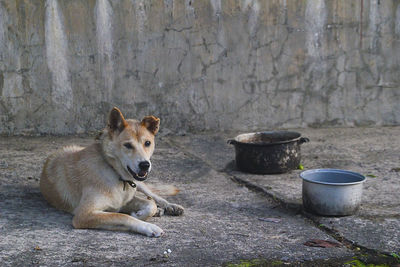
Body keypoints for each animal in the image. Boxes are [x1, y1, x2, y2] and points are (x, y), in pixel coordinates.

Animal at [39, 108, 184, 238]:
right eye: (128, 145)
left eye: (147, 143)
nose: (145, 165)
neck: (115, 172)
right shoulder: (84, 214)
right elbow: (123, 216)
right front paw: (147, 226)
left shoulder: (124, 200)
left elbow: (150, 204)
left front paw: (141, 214)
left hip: (140, 185)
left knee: (153, 195)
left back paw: (170, 206)